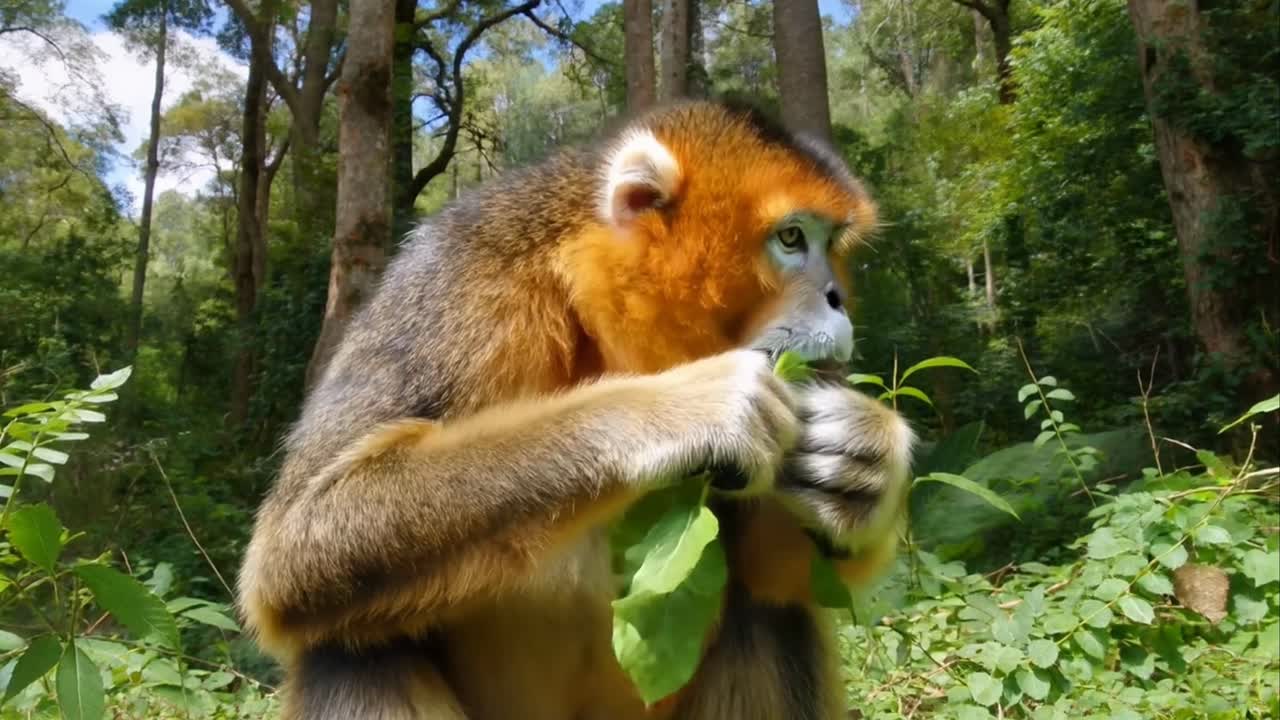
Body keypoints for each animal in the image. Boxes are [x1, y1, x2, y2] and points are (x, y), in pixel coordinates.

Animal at [237, 99, 914, 720]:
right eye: (792, 238)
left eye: (830, 241)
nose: (837, 296)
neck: (594, 316)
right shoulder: (459, 279)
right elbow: (294, 543)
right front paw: (676, 412)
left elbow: (778, 573)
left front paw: (864, 459)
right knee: (349, 641)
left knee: (772, 609)